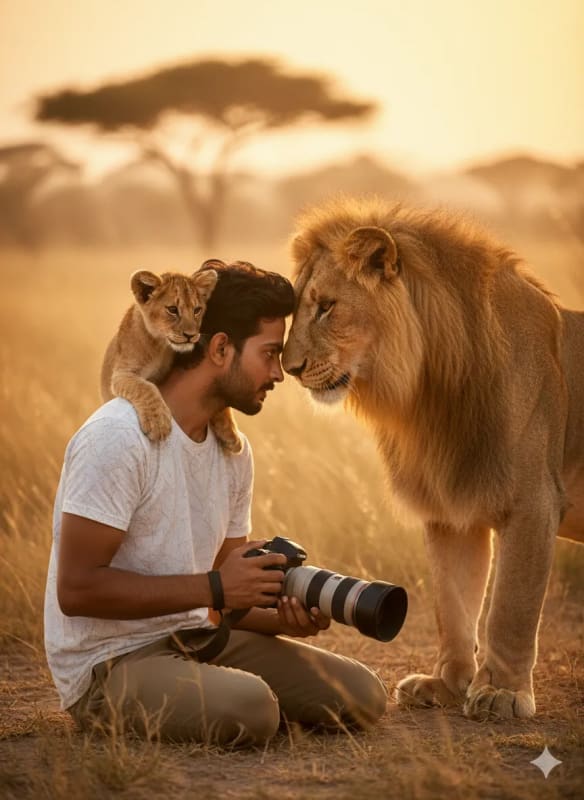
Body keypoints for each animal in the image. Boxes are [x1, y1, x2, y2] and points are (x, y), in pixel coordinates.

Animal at [100, 266, 241, 453]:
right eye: (173, 309)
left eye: (197, 310)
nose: (190, 335)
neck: (161, 346)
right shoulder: (122, 374)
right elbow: (145, 387)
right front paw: (158, 423)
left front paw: (231, 433)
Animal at [282, 195, 584, 720]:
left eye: (326, 307)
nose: (289, 367)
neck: (429, 392)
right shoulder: (450, 508)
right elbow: (453, 600)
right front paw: (447, 684)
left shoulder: (534, 502)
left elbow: (511, 605)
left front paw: (502, 693)